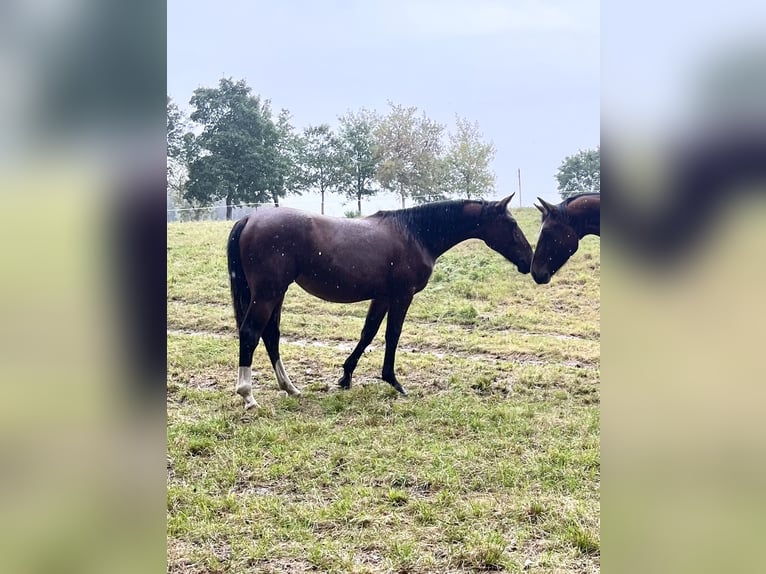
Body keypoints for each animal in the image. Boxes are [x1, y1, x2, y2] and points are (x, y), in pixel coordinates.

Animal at [225, 196, 532, 412]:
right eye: (511, 224)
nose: (529, 260)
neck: (415, 233)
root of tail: (249, 218)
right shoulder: (401, 295)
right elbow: (392, 335)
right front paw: (393, 381)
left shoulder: (382, 296)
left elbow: (368, 333)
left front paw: (346, 377)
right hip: (268, 293)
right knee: (251, 333)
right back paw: (248, 395)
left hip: (276, 293)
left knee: (271, 335)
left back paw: (290, 388)